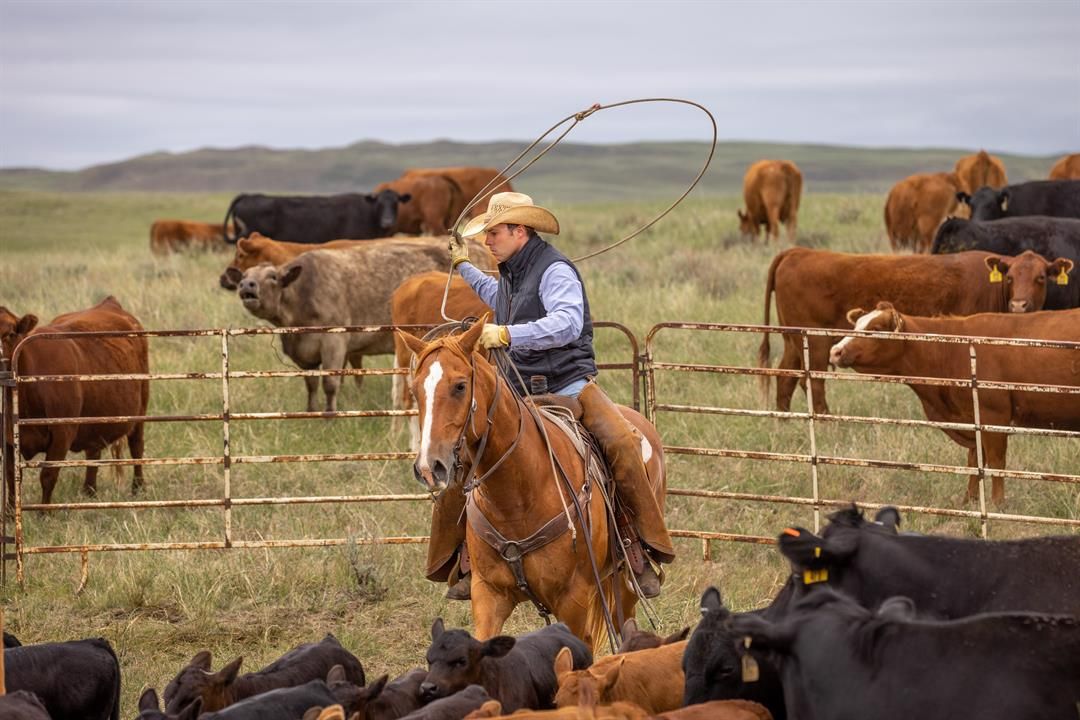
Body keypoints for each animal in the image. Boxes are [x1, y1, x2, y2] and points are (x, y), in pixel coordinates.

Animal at [1, 297, 149, 505]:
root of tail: (109, 303)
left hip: (140, 409)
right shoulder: (6, 439)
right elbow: (11, 479)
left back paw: (138, 489)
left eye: (10, 333)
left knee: (136, 446)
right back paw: (89, 491)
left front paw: (43, 511)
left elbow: (48, 476)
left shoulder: (62, 434)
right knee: (93, 452)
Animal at [232, 239, 491, 412]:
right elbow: (311, 384)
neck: (305, 291)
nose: (247, 285)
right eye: (244, 275)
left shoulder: (334, 343)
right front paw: (311, 411)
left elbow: (330, 383)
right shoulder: (306, 355)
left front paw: (329, 415)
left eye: (273, 277)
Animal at [757, 248, 1058, 415]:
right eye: (1010, 278)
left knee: (785, 377)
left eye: (1041, 277)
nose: (1019, 305)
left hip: (794, 340)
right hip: (815, 341)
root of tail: (797, 251)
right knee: (813, 383)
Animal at [829, 303, 1080, 504]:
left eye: (876, 329)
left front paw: (998, 504)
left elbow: (996, 461)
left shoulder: (993, 414)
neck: (949, 348)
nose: (836, 351)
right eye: (856, 326)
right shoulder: (972, 418)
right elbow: (975, 459)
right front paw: (969, 500)